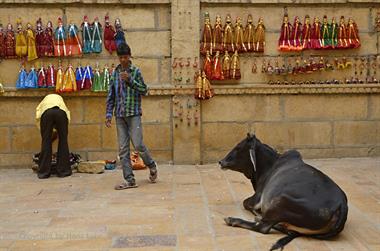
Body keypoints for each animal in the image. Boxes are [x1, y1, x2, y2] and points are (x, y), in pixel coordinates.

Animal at [220, 132, 348, 250]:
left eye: (238, 147)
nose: (221, 162)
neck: (269, 165)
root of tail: (342, 204)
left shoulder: (257, 197)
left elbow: (246, 203)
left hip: (280, 200)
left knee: (263, 227)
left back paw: (233, 219)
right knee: (289, 230)